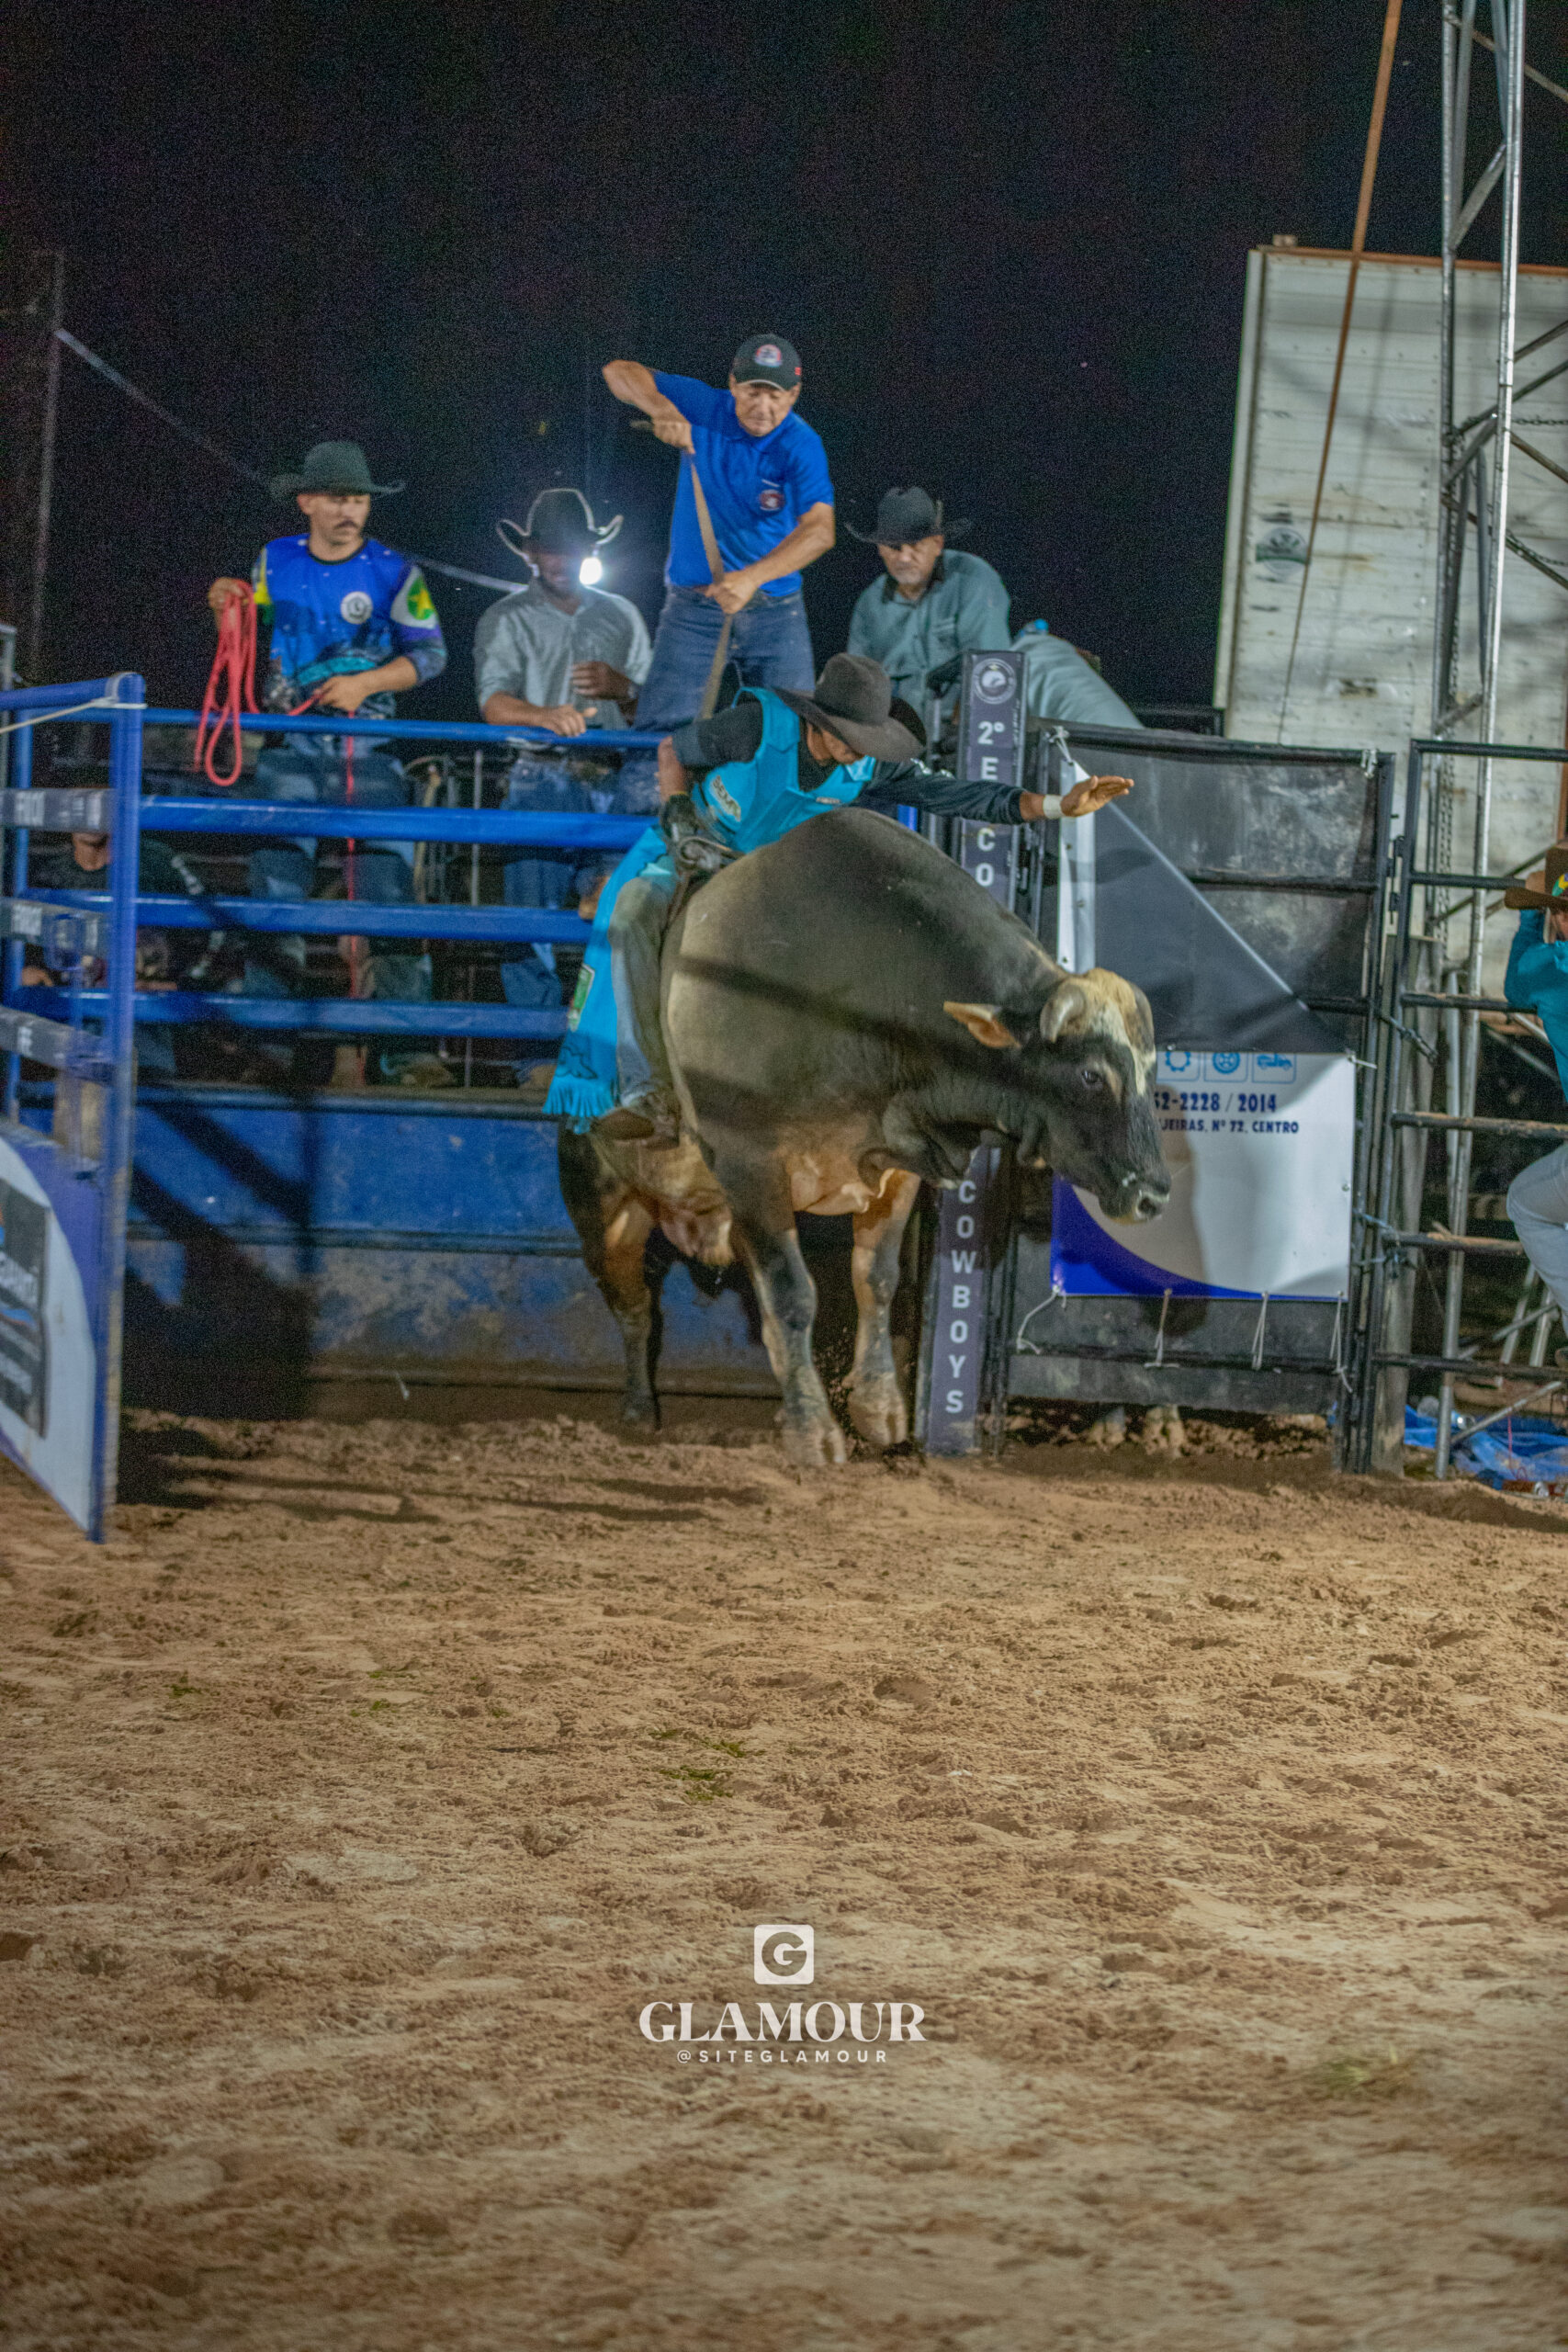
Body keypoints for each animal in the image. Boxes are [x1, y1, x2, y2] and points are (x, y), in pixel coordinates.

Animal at [557, 805, 1169, 1466]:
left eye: (1150, 1066)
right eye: (1090, 1074)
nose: (1152, 1194)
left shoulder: (896, 1164)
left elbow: (875, 1280)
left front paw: (877, 1409)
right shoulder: (750, 1163)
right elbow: (793, 1296)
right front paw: (813, 1433)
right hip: (602, 1205)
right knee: (634, 1305)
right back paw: (639, 1409)